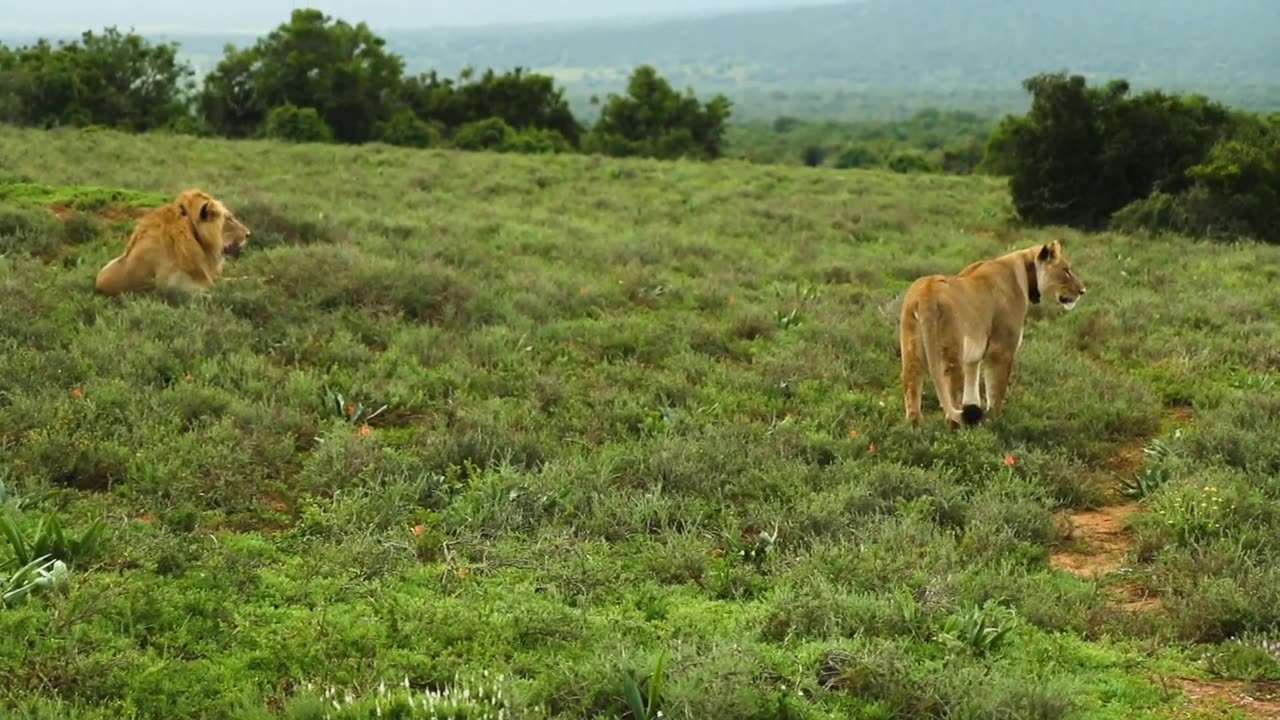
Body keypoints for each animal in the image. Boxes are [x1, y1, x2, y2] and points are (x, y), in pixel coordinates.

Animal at [890, 238, 1090, 425]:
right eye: (1066, 270)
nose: (1082, 291)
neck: (1024, 271)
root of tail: (927, 294)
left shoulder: (973, 355)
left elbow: (972, 383)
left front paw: (975, 413)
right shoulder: (1001, 350)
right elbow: (997, 387)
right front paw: (994, 419)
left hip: (911, 346)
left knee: (911, 378)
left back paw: (915, 424)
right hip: (952, 350)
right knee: (951, 386)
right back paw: (955, 425)